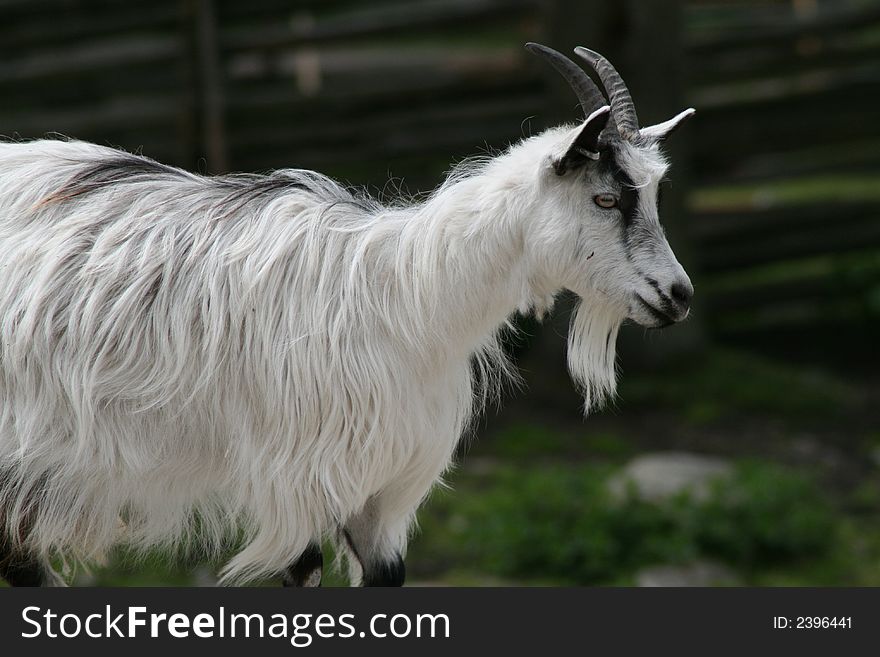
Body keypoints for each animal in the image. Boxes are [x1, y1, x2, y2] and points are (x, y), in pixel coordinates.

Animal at [0, 43, 696, 588]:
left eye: (652, 194)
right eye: (605, 198)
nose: (678, 295)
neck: (407, 301)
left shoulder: (385, 491)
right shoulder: (297, 479)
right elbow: (303, 572)